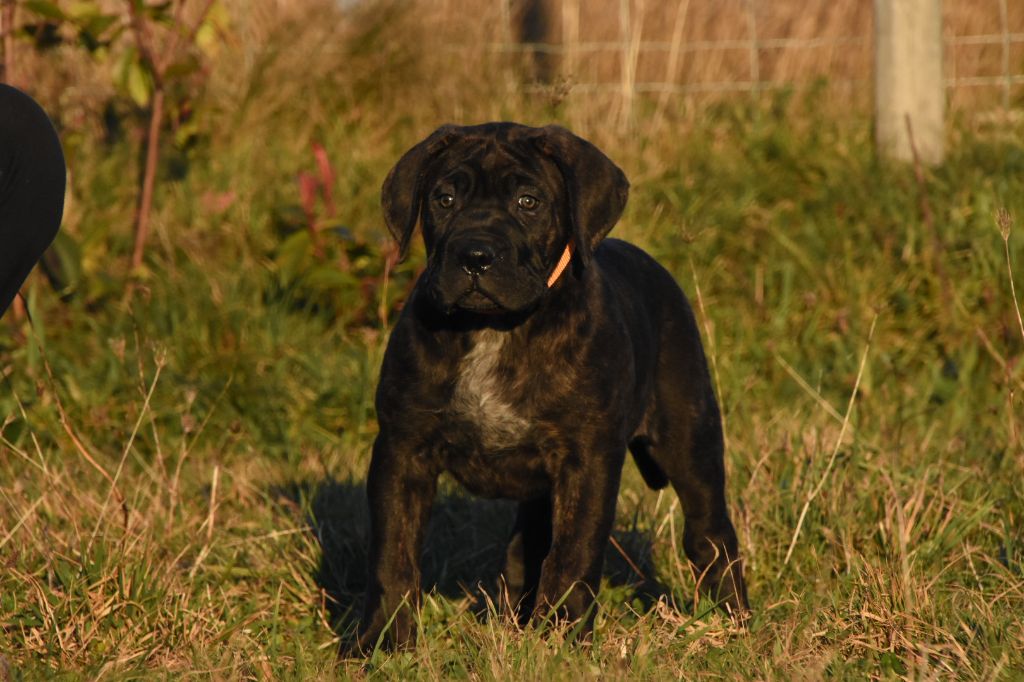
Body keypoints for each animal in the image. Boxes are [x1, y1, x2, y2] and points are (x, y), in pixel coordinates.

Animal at [356, 122, 749, 655]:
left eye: (529, 201)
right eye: (444, 198)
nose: (474, 255)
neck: (495, 329)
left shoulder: (586, 462)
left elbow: (573, 555)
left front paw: (561, 641)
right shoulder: (402, 450)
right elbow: (393, 557)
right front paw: (381, 644)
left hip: (690, 442)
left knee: (710, 534)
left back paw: (732, 624)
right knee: (527, 545)